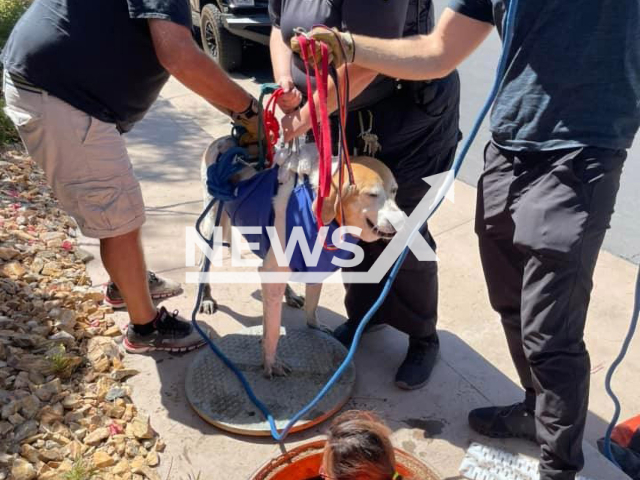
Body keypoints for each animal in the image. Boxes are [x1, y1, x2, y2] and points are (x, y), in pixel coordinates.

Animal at [200, 139, 400, 378]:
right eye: (372, 195)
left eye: (394, 191)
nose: (403, 223)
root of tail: (223, 141)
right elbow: (272, 330)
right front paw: (270, 362)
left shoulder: (315, 264)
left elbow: (312, 303)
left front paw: (314, 326)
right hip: (212, 226)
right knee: (204, 265)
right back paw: (206, 298)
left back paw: (290, 294)